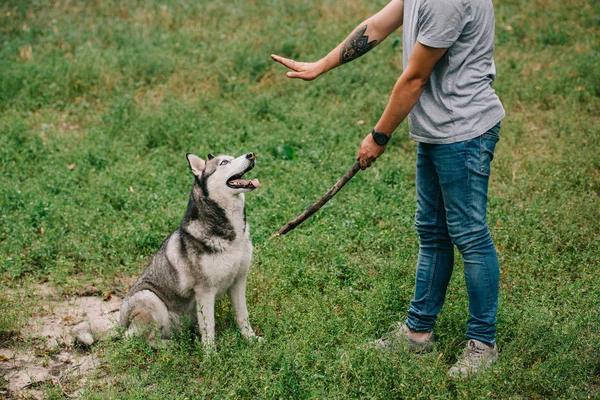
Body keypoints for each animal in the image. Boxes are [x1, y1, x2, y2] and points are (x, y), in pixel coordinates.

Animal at [118, 152, 262, 348]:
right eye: (224, 162)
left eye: (232, 157)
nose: (251, 155)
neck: (231, 234)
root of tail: (120, 325)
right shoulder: (205, 291)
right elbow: (209, 328)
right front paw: (210, 354)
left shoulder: (238, 282)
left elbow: (242, 316)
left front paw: (251, 339)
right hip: (149, 298)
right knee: (146, 339)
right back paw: (171, 346)